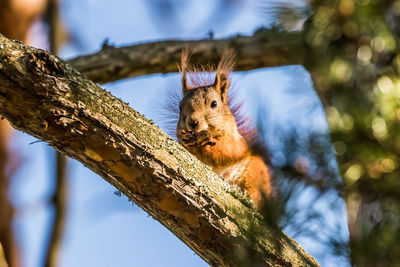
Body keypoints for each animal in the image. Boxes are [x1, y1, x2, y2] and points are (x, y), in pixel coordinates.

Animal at [176, 48, 272, 209]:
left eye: (214, 104)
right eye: (180, 107)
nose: (192, 122)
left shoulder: (237, 144)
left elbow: (228, 151)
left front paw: (207, 140)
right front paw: (184, 139)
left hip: (255, 173)